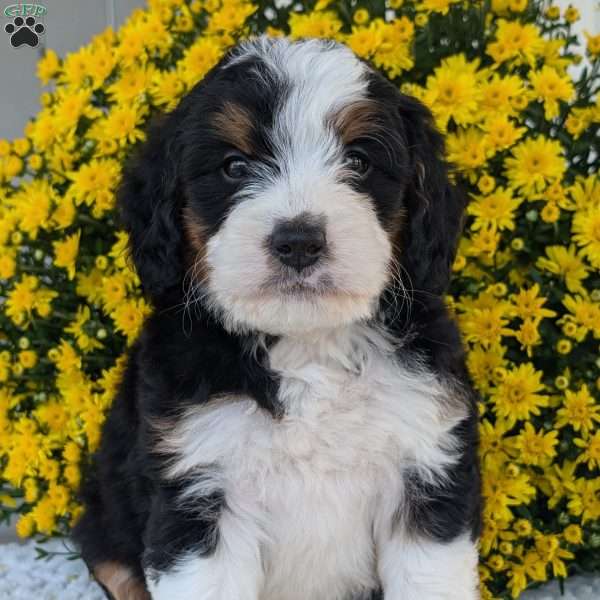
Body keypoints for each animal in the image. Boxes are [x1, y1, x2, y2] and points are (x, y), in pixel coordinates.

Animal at [71, 36, 482, 600]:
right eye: (234, 167)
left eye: (358, 161)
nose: (299, 242)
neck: (307, 345)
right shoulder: (199, 486)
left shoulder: (425, 467)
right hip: (106, 529)